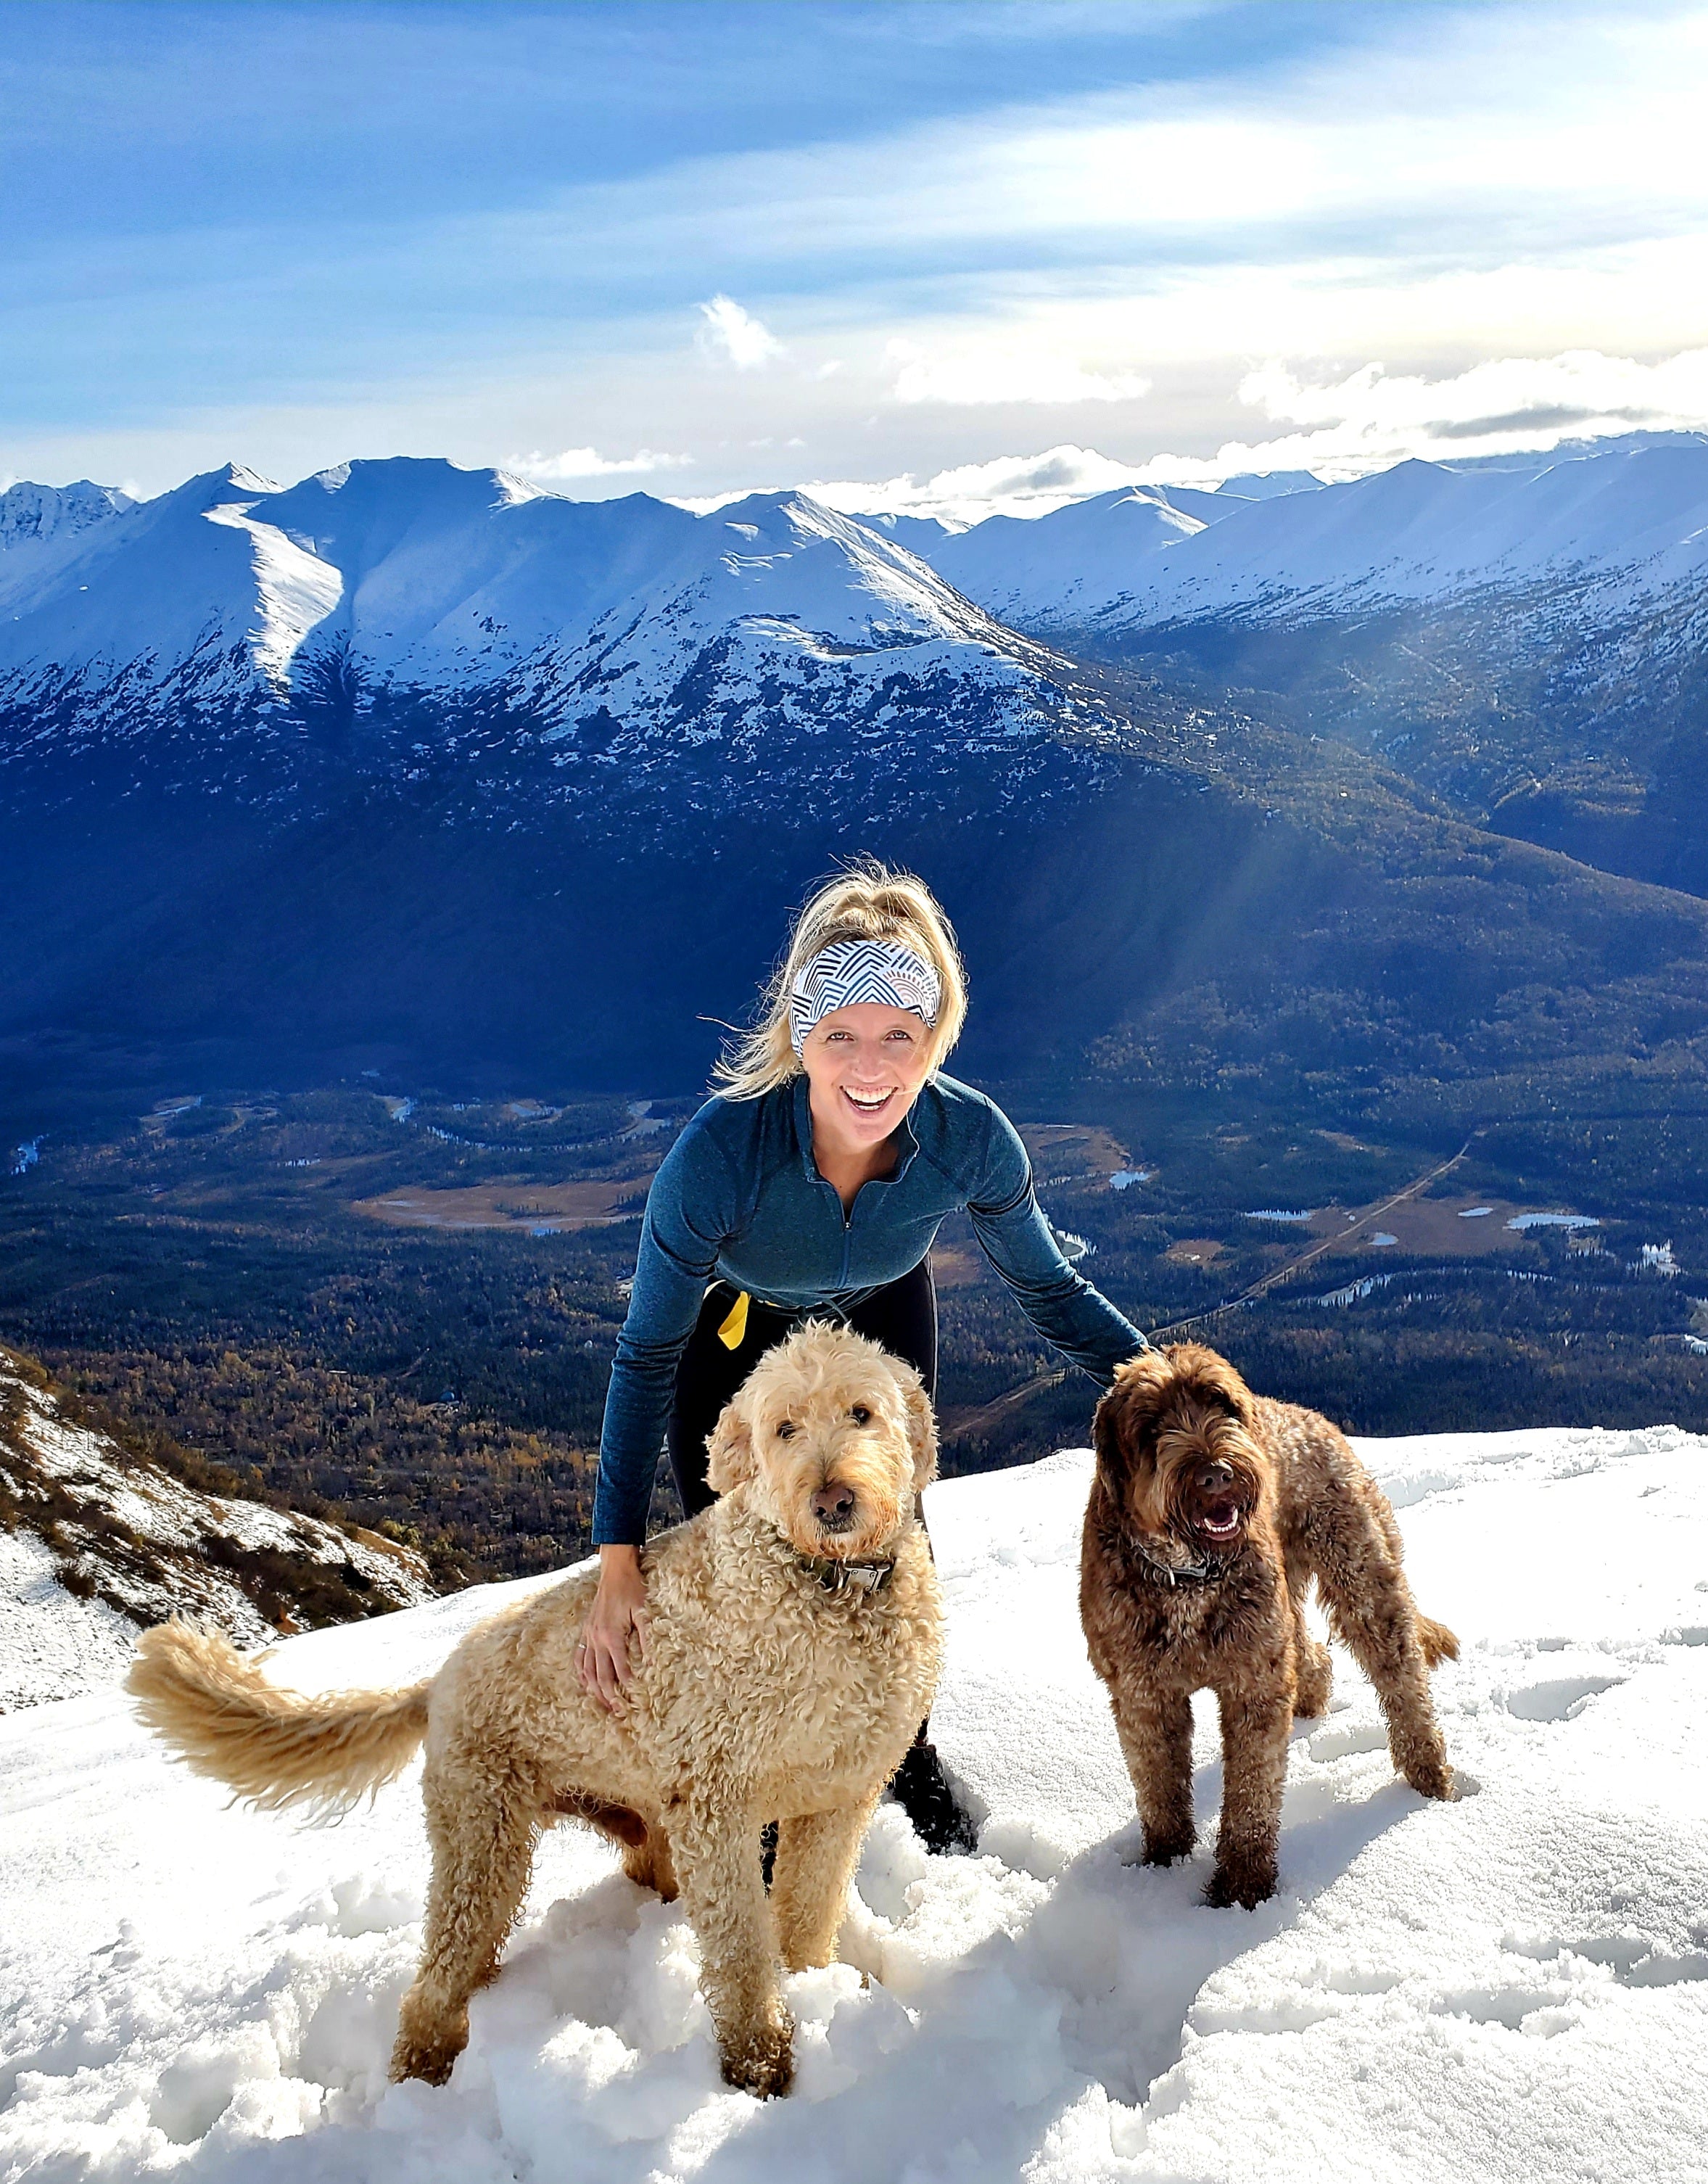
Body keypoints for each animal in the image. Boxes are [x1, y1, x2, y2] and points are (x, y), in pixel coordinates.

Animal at [127, 1310, 943, 2096]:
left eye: (862, 1411)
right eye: (784, 1428)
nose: (832, 1499)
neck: (824, 1588)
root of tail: (437, 1680)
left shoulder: (839, 1796)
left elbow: (807, 1910)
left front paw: (812, 1985)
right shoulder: (715, 1807)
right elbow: (742, 1948)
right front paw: (759, 2060)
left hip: (615, 1818)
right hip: (481, 1843)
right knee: (434, 1984)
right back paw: (423, 2076)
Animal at [1083, 1345, 1459, 1913]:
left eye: (1220, 1403)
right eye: (1149, 1427)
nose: (1215, 1474)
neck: (1189, 1577)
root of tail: (1310, 1416)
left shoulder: (1253, 1681)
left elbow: (1252, 1791)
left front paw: (1242, 1890)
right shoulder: (1141, 1694)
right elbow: (1158, 1784)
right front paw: (1163, 1865)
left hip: (1361, 1573)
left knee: (1402, 1675)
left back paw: (1430, 1777)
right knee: (1312, 1654)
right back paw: (1311, 1700)